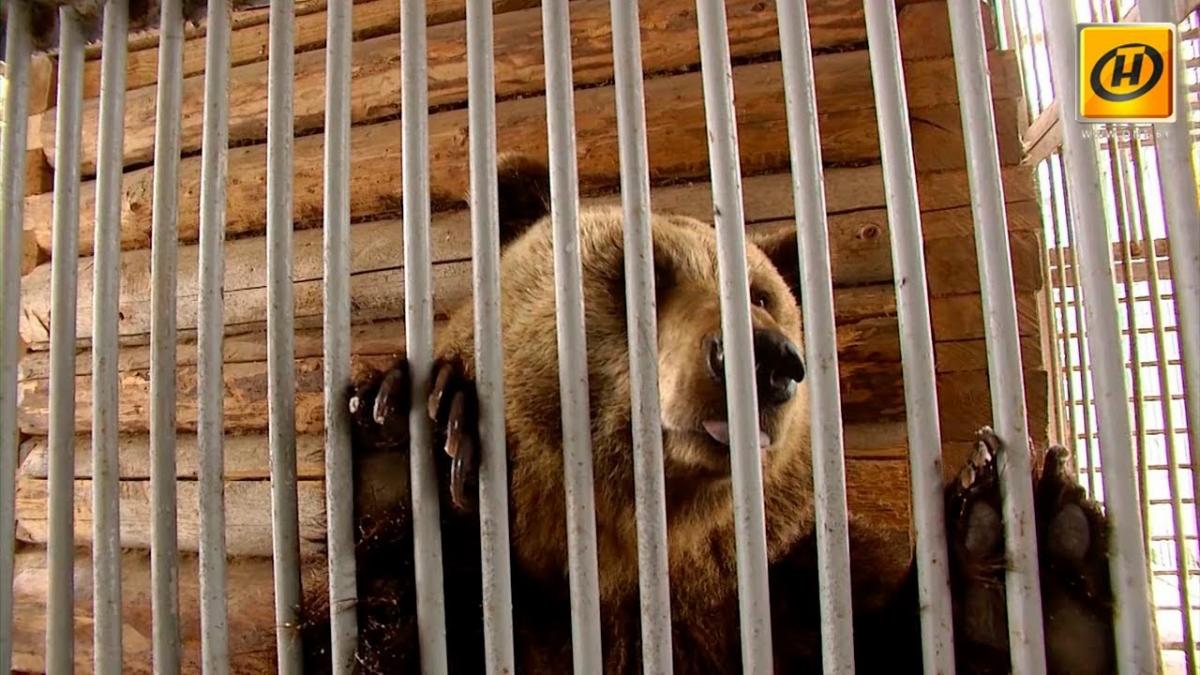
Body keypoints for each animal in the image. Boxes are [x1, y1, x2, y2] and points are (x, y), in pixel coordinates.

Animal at [298, 156, 1119, 674]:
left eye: (761, 294)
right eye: (636, 273)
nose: (766, 359)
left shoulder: (792, 597)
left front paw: (1030, 566)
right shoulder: (517, 606)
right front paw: (387, 427)